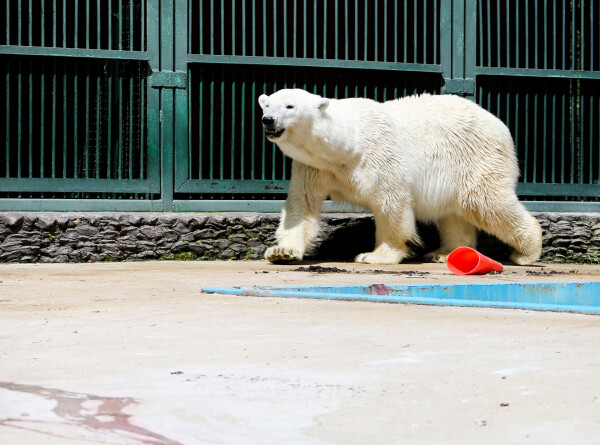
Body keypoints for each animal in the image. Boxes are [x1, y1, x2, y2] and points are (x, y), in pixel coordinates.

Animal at [258, 88, 544, 266]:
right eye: (267, 104)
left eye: (290, 106)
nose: (268, 119)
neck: (347, 145)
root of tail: (499, 123)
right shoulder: (313, 167)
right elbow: (302, 205)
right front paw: (282, 251)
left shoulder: (380, 156)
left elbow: (391, 204)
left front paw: (374, 256)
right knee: (453, 213)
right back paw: (445, 253)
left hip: (476, 157)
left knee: (484, 202)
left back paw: (526, 252)